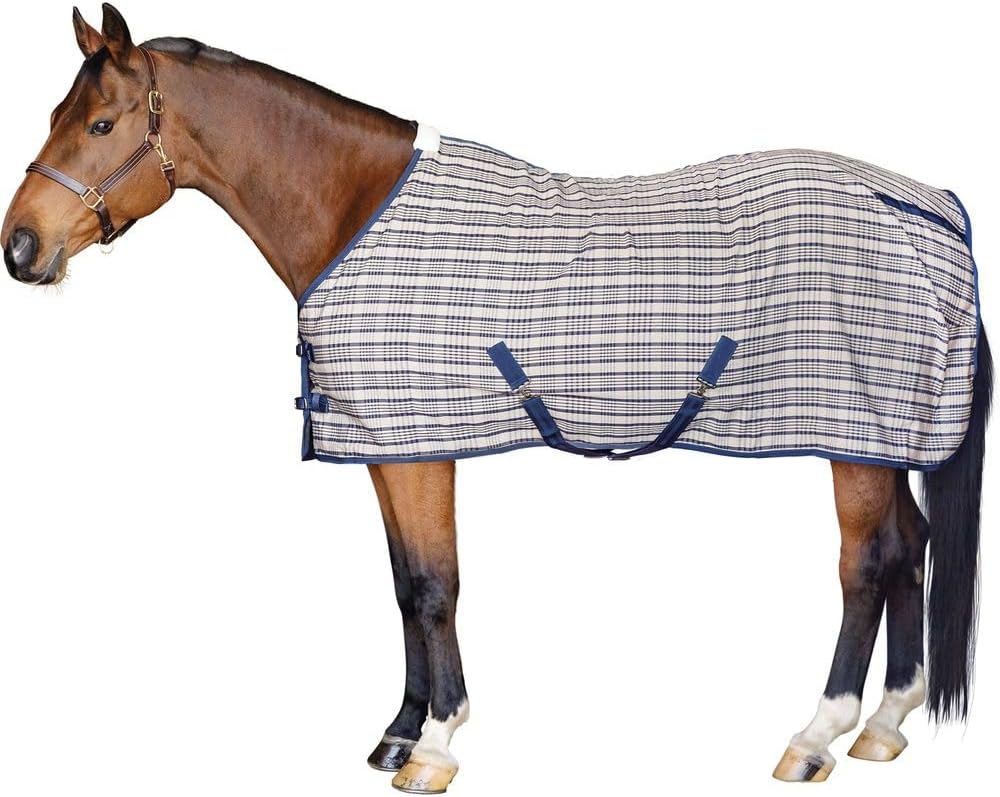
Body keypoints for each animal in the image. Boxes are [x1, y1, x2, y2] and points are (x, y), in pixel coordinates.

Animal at [2, 5, 992, 793]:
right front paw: (398, 734)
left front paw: (436, 746)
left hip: (854, 436)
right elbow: (403, 586)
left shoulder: (423, 445)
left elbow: (436, 583)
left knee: (867, 564)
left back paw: (816, 736)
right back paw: (887, 724)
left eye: (100, 122)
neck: (358, 211)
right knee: (910, 546)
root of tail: (934, 207)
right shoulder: (388, 445)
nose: (20, 246)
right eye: (55, 116)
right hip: (886, 437)